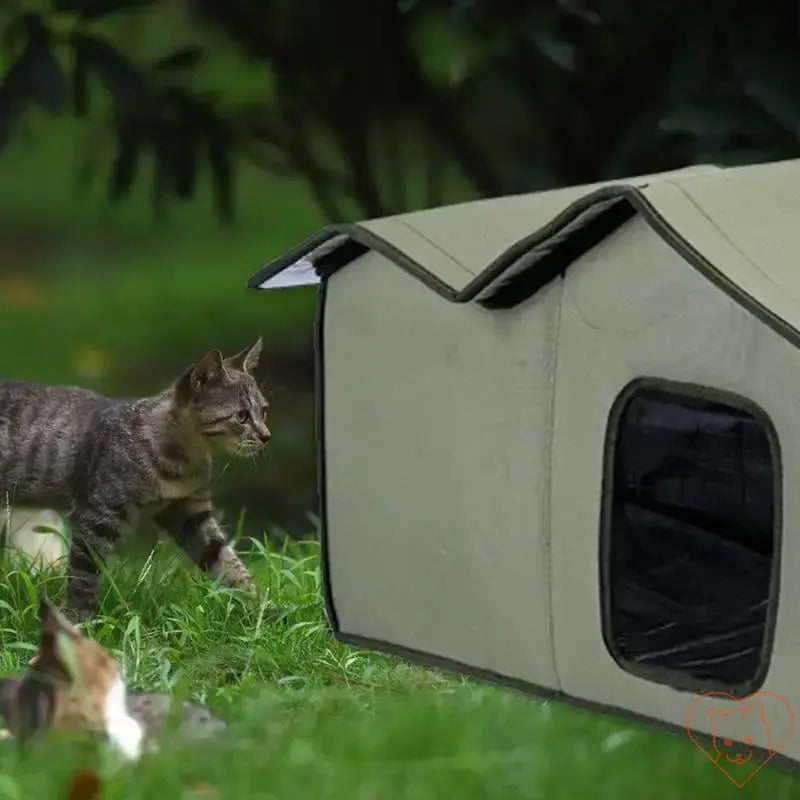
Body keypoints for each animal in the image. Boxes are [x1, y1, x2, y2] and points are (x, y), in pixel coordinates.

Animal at [0, 338, 270, 620]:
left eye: (264, 411)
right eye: (242, 416)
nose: (266, 436)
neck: (184, 462)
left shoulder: (191, 514)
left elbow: (229, 563)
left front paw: (263, 610)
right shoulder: (96, 516)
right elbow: (85, 576)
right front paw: (78, 619)